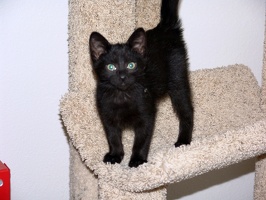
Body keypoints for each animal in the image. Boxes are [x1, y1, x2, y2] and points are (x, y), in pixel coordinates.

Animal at [89, 0, 193, 167]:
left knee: (187, 110)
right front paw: (115, 155)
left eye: (131, 65)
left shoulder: (147, 114)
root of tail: (163, 28)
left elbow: (141, 140)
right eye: (111, 67)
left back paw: (184, 141)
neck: (122, 95)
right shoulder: (106, 114)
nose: (123, 77)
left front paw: (137, 159)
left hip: (178, 78)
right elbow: (113, 137)